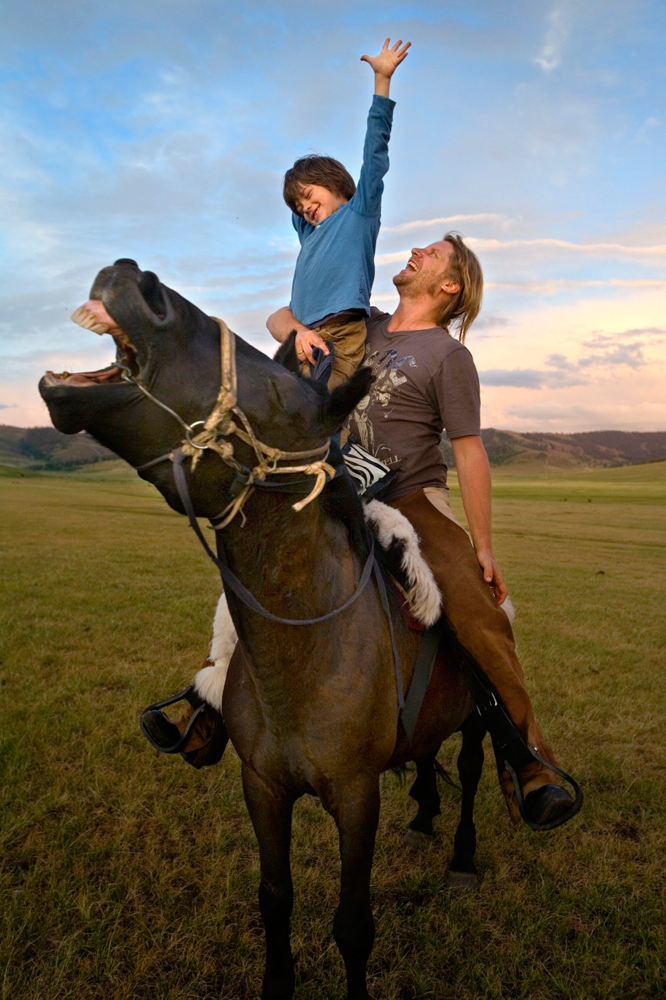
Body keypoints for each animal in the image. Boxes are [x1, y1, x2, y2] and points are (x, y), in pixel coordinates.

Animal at [40, 258, 488, 1000]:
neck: (307, 656)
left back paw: (463, 856)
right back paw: (424, 814)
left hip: (479, 714)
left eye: (278, 394)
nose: (137, 278)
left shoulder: (356, 796)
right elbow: (274, 898)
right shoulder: (264, 787)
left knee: (476, 770)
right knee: (427, 754)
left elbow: (352, 923)